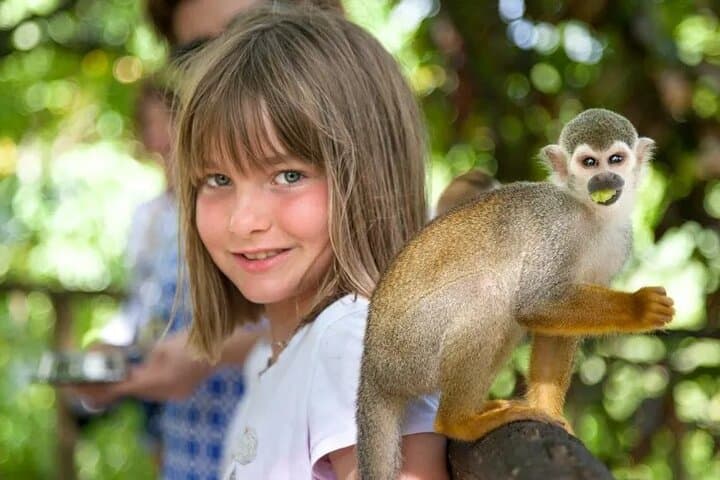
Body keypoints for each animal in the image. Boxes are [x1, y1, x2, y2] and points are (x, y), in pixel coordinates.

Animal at [356, 109, 675, 480]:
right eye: (589, 163)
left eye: (615, 160)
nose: (604, 180)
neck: (590, 214)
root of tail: (372, 366)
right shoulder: (557, 231)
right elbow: (535, 302)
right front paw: (639, 307)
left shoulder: (618, 243)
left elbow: (554, 328)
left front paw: (549, 412)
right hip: (410, 350)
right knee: (488, 300)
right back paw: (458, 423)